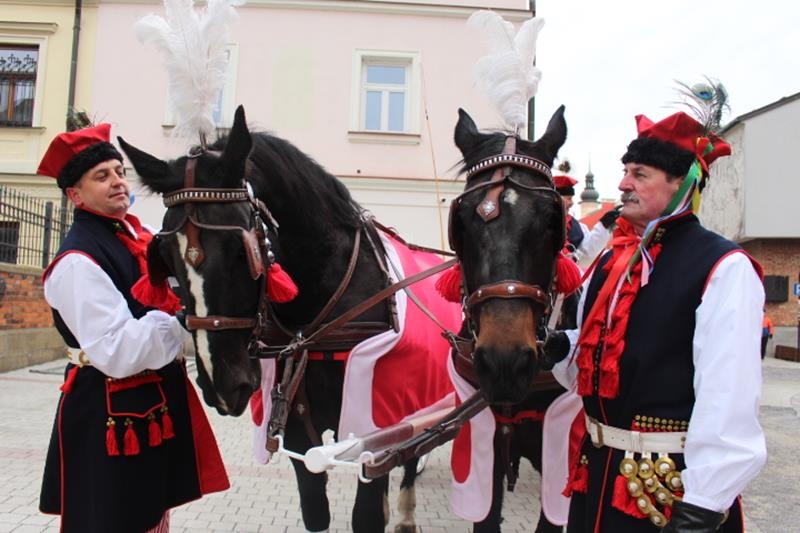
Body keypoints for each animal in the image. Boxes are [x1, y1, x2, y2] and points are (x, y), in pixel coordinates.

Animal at [118, 105, 451, 533]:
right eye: (166, 261)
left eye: (241, 250)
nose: (223, 386)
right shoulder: (297, 434)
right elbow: (315, 510)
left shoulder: (375, 429)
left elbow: (368, 511)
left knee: (412, 456)